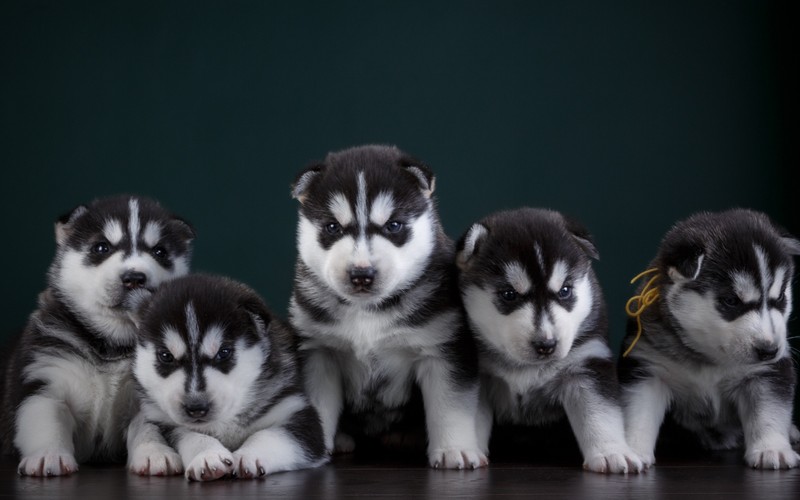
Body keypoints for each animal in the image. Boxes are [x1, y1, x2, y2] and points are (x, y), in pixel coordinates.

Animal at [0, 195, 194, 476]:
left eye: (160, 252)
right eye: (101, 248)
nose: (134, 278)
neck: (112, 343)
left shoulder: (151, 396)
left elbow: (148, 428)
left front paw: (155, 454)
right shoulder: (43, 379)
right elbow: (46, 421)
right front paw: (48, 455)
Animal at [131, 274, 328, 480]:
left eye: (224, 352)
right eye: (166, 356)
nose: (196, 407)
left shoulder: (297, 414)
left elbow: (270, 435)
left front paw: (250, 455)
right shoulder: (167, 424)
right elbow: (191, 435)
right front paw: (208, 456)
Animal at [290, 144, 488, 468]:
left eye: (393, 226)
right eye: (332, 227)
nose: (361, 274)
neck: (368, 311)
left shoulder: (443, 349)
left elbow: (450, 406)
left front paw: (453, 449)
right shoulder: (319, 353)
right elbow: (319, 404)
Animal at [456, 207, 644, 472]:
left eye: (565, 291)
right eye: (509, 294)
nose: (546, 345)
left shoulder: (587, 362)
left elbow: (600, 415)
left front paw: (611, 453)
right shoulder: (479, 374)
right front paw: (462, 447)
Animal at [620, 209, 800, 470]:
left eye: (780, 299)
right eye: (731, 301)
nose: (769, 350)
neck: (709, 358)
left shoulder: (766, 373)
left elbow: (769, 412)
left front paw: (772, 449)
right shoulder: (649, 368)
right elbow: (638, 413)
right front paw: (629, 449)